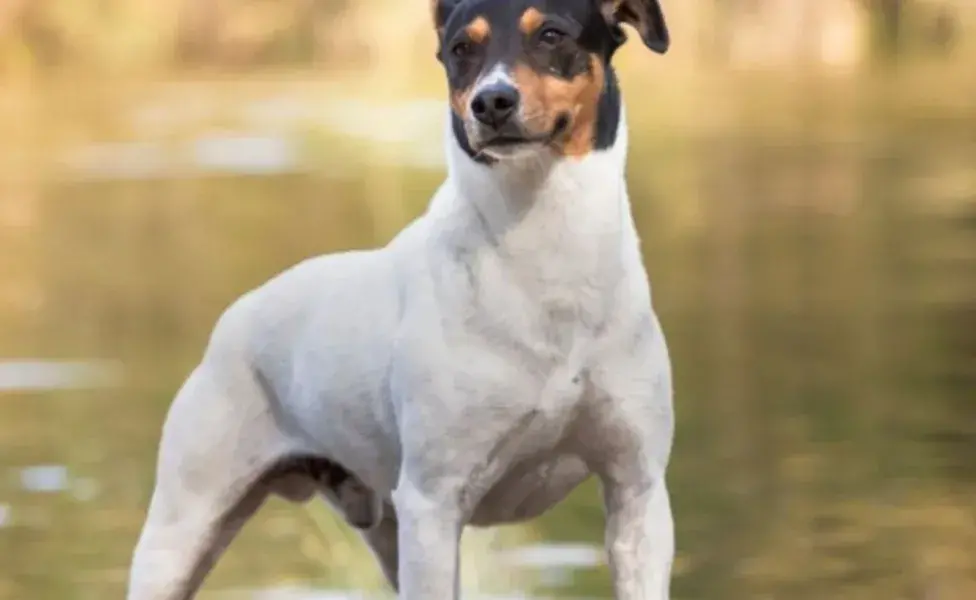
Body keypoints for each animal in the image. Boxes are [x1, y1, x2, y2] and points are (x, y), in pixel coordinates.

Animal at [127, 1, 680, 600]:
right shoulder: (433, 504)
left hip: (388, 533)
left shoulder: (638, 495)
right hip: (183, 529)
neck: (547, 251)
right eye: (462, 48)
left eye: (552, 34)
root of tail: (233, 319)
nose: (492, 101)